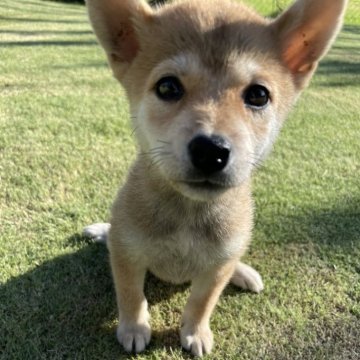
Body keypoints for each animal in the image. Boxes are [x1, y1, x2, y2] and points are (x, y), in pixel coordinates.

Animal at [83, 0, 348, 354]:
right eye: (168, 87)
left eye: (259, 95)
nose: (210, 151)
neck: (187, 214)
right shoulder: (127, 254)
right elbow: (131, 295)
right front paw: (134, 328)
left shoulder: (217, 266)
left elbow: (202, 301)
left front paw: (195, 332)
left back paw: (243, 272)